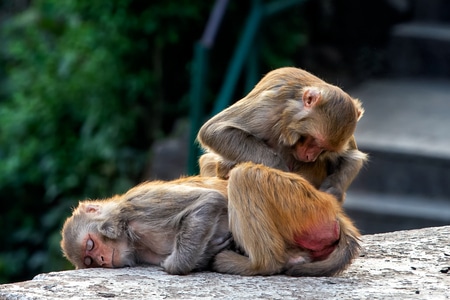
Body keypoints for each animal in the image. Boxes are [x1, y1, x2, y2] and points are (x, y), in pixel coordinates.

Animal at [59, 176, 230, 276]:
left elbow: (209, 200)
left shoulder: (140, 204)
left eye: (90, 244)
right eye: (90, 261)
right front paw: (208, 253)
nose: (102, 260)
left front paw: (174, 266)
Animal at [199, 65, 368, 202]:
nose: (310, 156)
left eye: (324, 149)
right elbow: (215, 130)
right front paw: (281, 170)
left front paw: (333, 190)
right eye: (313, 140)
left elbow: (352, 157)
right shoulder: (269, 106)